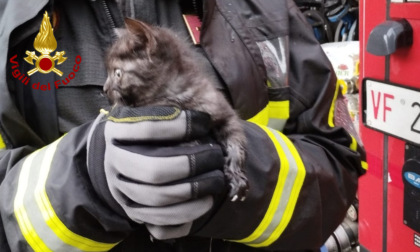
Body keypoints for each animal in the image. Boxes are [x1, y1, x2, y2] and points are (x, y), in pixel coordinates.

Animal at [103, 18, 248, 202]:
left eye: (117, 73)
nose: (104, 88)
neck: (176, 95)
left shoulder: (221, 109)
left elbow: (236, 141)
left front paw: (237, 177)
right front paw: (191, 143)